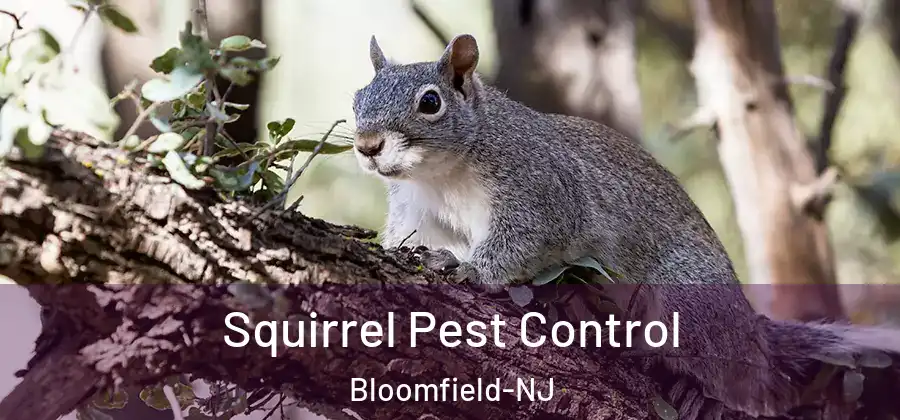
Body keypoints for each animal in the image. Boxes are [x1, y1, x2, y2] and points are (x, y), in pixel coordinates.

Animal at [351, 34, 900, 418]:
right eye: (358, 96)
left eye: (430, 103)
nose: (366, 145)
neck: (442, 173)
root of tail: (749, 330)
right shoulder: (418, 211)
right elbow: (411, 238)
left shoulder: (543, 191)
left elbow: (523, 241)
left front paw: (469, 270)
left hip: (687, 302)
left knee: (746, 383)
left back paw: (703, 393)